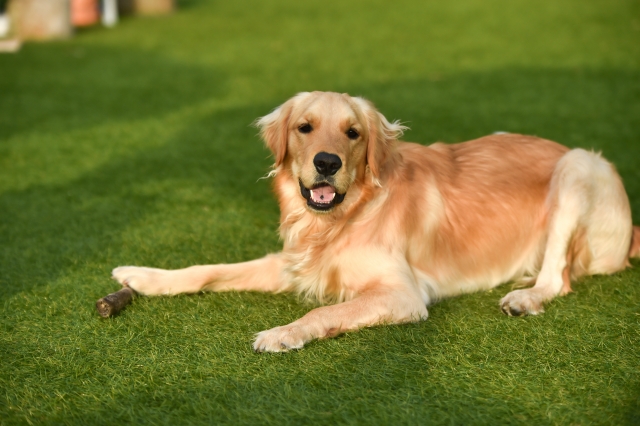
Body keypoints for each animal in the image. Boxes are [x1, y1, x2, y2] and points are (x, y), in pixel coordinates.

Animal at [115, 91, 640, 352]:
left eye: (353, 133)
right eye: (304, 127)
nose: (326, 163)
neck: (342, 218)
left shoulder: (403, 293)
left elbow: (324, 313)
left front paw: (283, 333)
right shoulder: (294, 263)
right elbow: (210, 270)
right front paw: (142, 276)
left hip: (578, 164)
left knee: (558, 277)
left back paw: (525, 297)